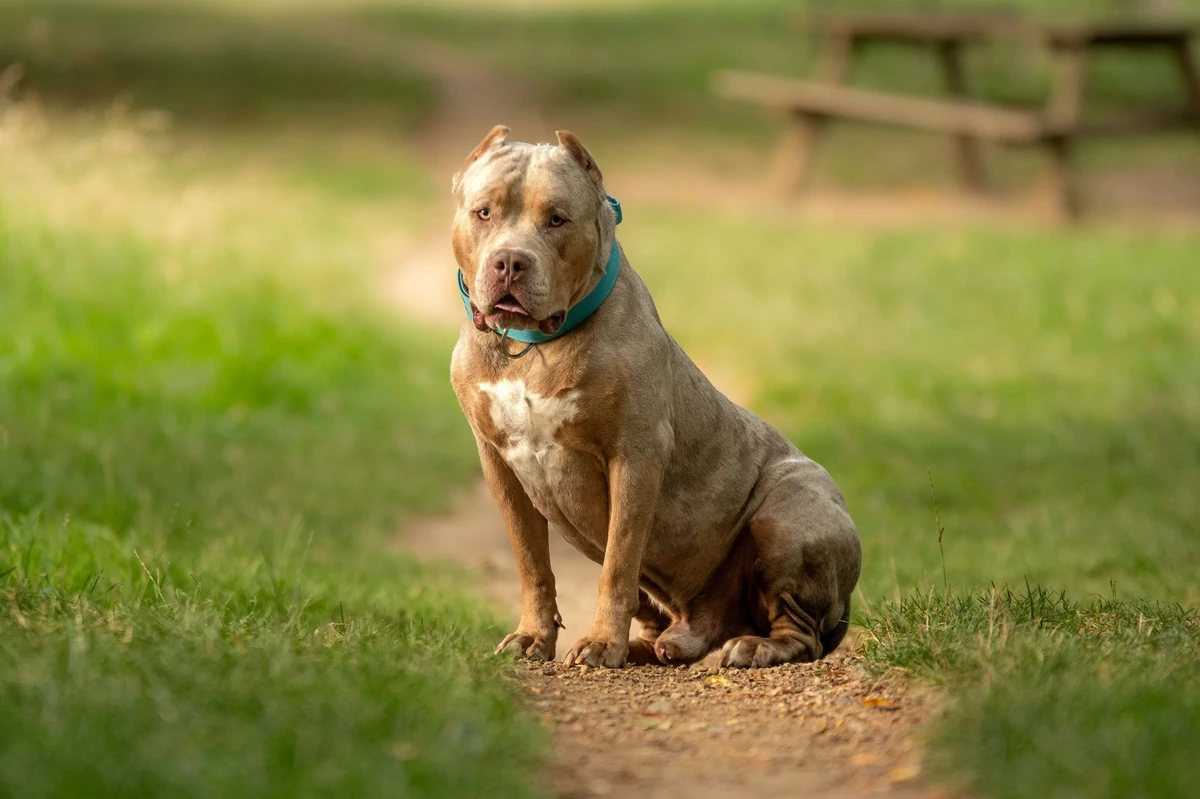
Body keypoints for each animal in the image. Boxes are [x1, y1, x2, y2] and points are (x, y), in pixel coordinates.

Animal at [446, 125, 859, 667]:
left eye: (557, 219)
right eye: (484, 212)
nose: (510, 261)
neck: (532, 347)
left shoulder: (636, 455)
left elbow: (618, 563)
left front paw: (602, 642)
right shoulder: (499, 463)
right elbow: (532, 563)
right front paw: (533, 637)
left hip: (788, 515)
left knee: (802, 632)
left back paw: (753, 647)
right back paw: (650, 646)